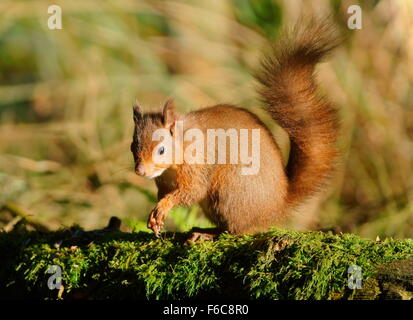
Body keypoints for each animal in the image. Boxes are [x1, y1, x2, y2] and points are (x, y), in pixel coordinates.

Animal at [131, 19, 338, 240]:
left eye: (161, 150)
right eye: (132, 147)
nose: (140, 171)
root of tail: (276, 209)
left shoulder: (198, 166)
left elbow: (192, 191)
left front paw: (163, 207)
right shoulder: (163, 181)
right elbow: (164, 194)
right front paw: (155, 216)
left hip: (229, 191)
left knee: (238, 230)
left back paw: (206, 235)